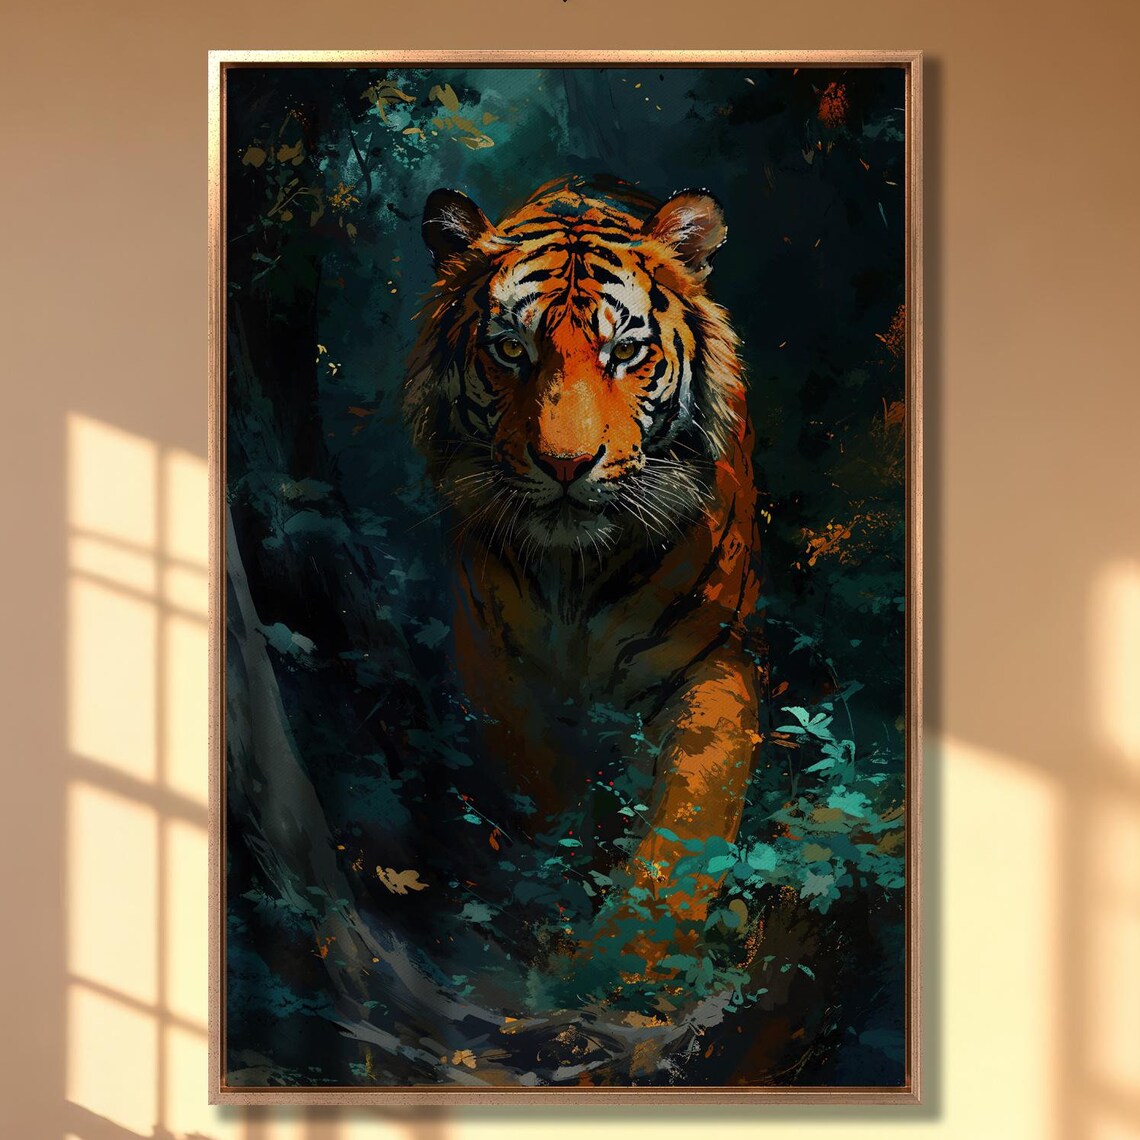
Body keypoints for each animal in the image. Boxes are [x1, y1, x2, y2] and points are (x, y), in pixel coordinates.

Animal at [403, 174, 762, 977]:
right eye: (511, 349)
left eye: (625, 351)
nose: (565, 464)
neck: (575, 575)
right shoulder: (492, 665)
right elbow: (548, 791)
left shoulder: (713, 664)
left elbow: (687, 819)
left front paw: (623, 962)